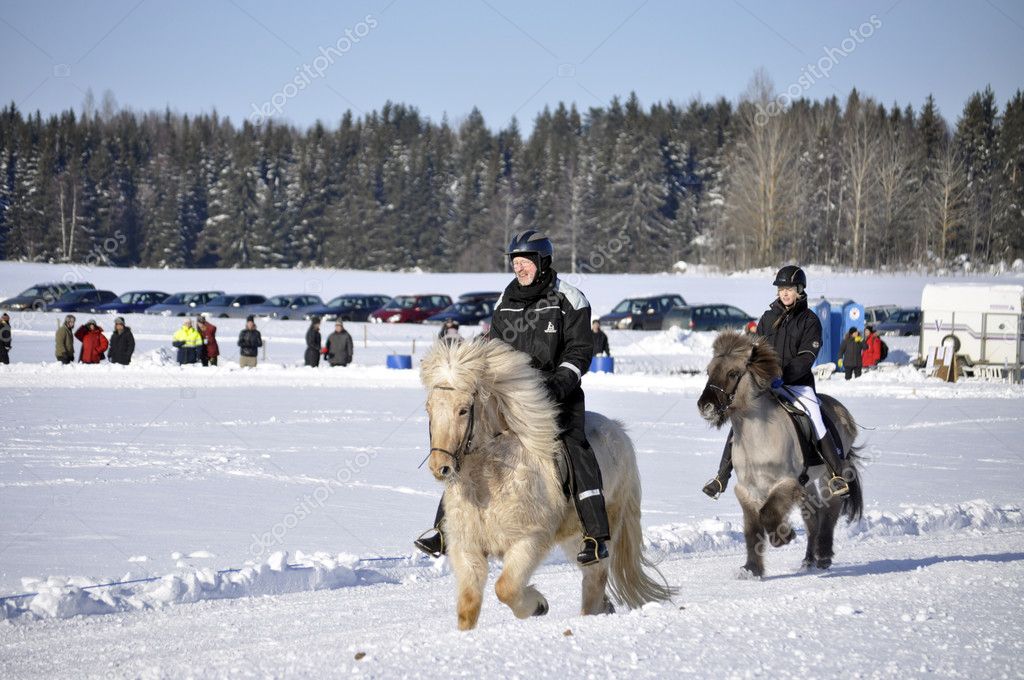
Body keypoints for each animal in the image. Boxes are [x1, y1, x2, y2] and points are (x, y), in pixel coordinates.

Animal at [421, 337, 675, 630]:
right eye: (429, 408)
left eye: (463, 410)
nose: (440, 467)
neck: (489, 482)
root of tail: (619, 431)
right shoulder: (467, 548)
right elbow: (468, 607)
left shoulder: (529, 541)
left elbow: (505, 588)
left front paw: (538, 605)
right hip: (574, 537)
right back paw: (606, 608)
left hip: (604, 529)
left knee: (594, 578)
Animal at [697, 332, 864, 578]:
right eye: (709, 371)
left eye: (733, 373)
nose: (705, 406)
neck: (758, 436)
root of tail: (842, 411)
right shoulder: (748, 489)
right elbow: (752, 528)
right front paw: (752, 569)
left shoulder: (786, 482)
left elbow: (767, 514)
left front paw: (783, 537)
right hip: (807, 483)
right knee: (813, 517)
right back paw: (808, 560)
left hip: (828, 475)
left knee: (829, 510)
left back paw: (823, 555)